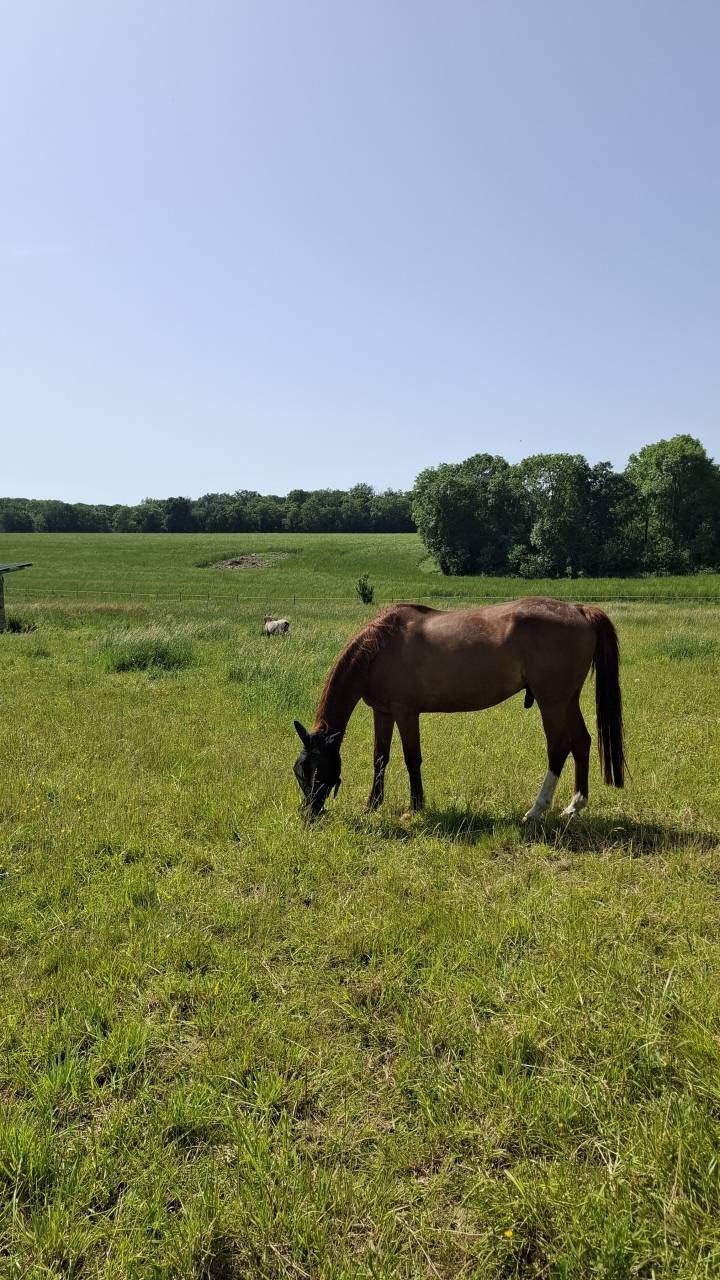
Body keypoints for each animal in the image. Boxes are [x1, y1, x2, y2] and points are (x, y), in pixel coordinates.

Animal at [292, 598, 625, 821]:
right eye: (299, 770)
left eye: (318, 769)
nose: (310, 814)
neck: (380, 647)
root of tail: (578, 610)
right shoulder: (383, 712)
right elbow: (380, 758)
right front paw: (372, 804)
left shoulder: (405, 712)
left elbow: (412, 759)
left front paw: (416, 808)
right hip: (567, 700)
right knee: (581, 743)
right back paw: (574, 806)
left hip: (552, 702)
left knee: (559, 747)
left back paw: (535, 810)